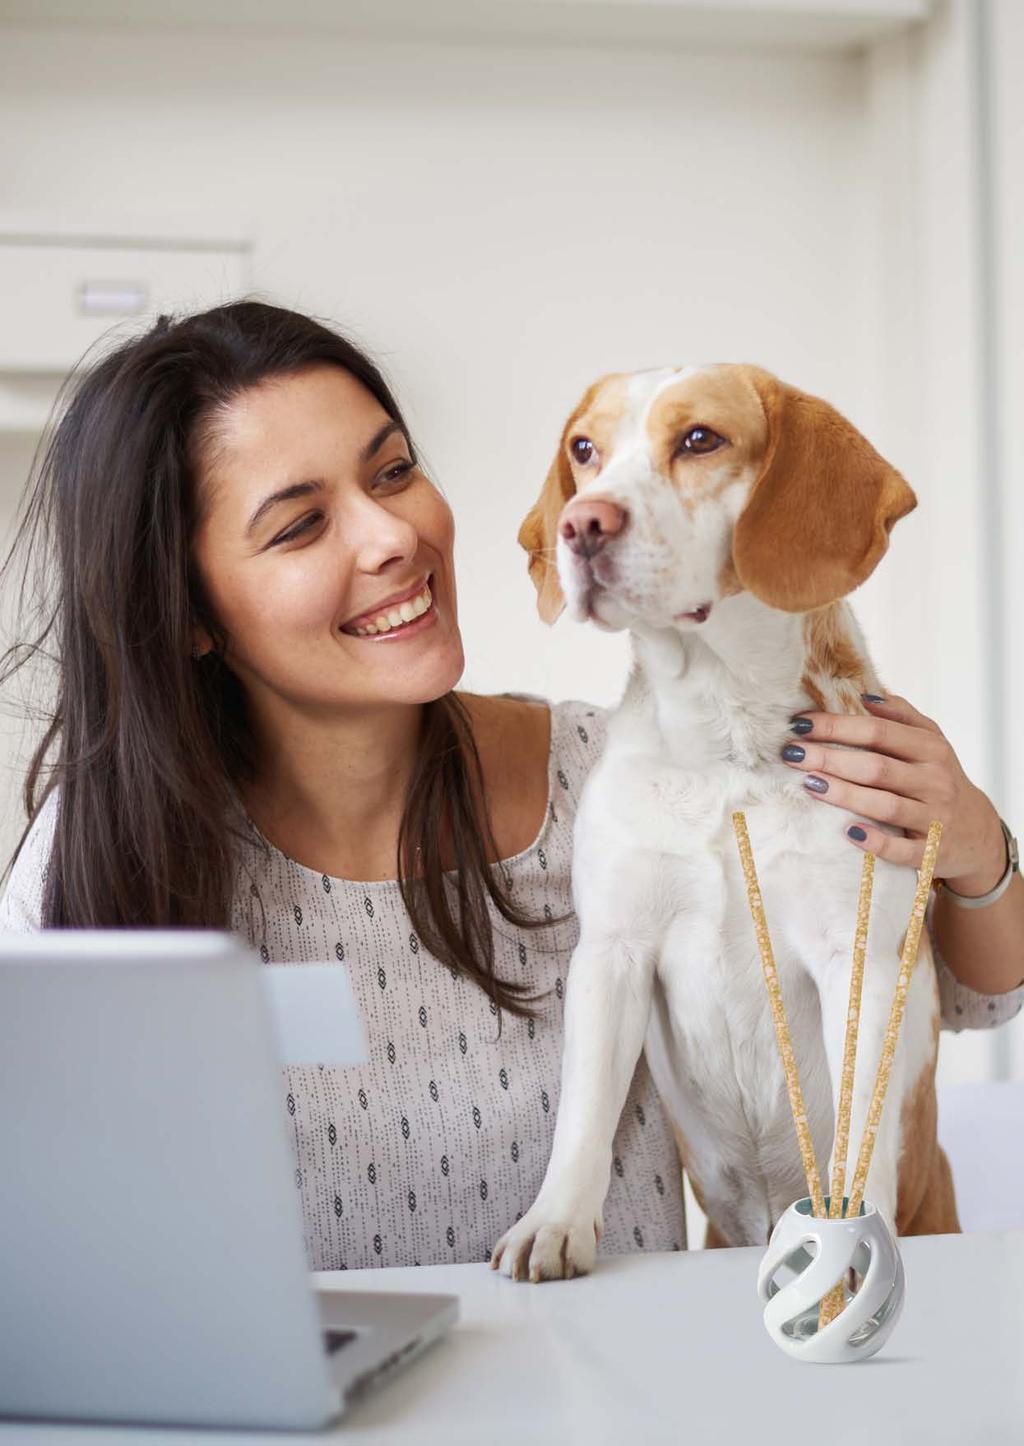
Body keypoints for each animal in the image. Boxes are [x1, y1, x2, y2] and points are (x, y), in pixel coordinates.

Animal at [491, 367, 954, 1284]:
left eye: (700, 439)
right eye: (584, 450)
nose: (580, 522)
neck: (723, 741)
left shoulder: (856, 956)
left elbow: (857, 1129)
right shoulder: (614, 952)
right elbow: (584, 1114)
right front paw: (553, 1225)